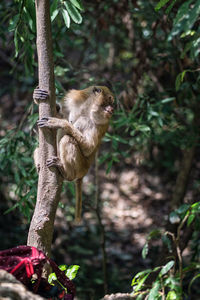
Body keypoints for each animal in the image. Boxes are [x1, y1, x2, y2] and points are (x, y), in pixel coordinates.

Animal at [33, 85, 114, 221]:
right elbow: (63, 114)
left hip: (80, 166)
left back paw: (66, 173)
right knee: (38, 148)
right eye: (108, 101)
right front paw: (38, 95)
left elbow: (88, 148)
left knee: (68, 139)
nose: (112, 109)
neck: (88, 110)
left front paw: (60, 123)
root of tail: (84, 172)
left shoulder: (100, 123)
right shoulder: (76, 101)